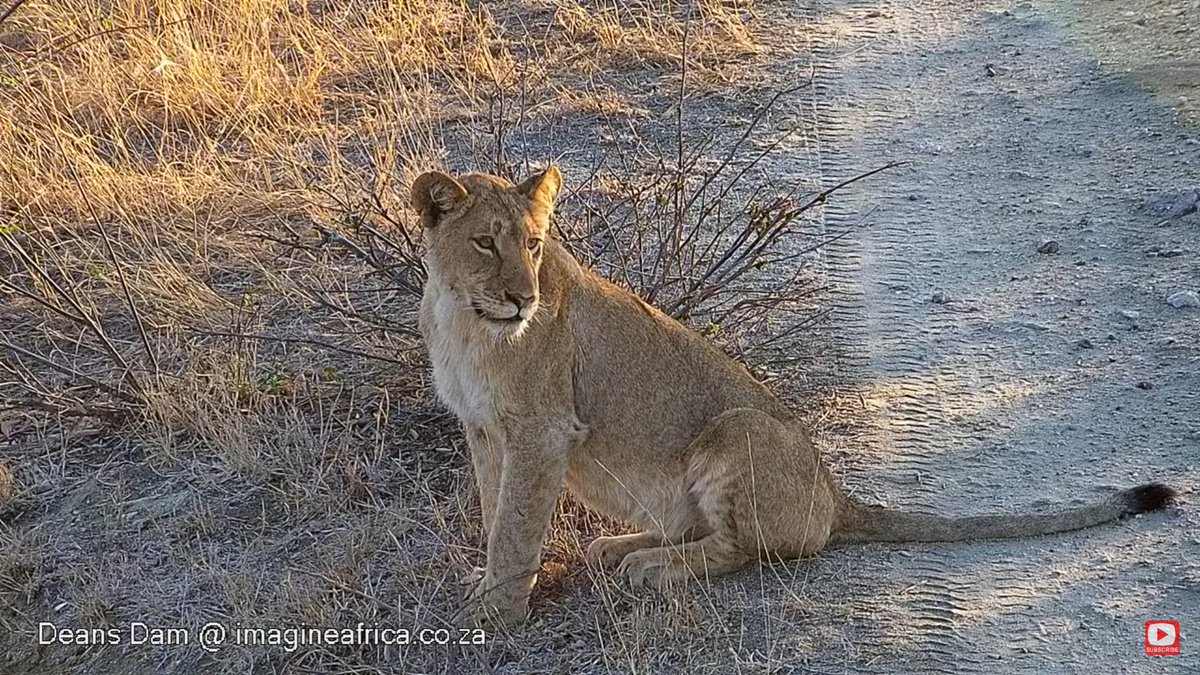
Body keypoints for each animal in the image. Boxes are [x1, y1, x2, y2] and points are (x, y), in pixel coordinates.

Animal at [410, 165, 1176, 628]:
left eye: (535, 246)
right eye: (486, 244)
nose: (524, 298)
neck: (462, 318)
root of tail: (835, 497)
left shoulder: (542, 431)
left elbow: (516, 525)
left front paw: (496, 616)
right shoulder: (486, 430)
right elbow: (495, 512)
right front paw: (487, 589)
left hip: (740, 427)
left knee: (741, 547)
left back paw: (649, 566)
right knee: (694, 527)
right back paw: (618, 546)